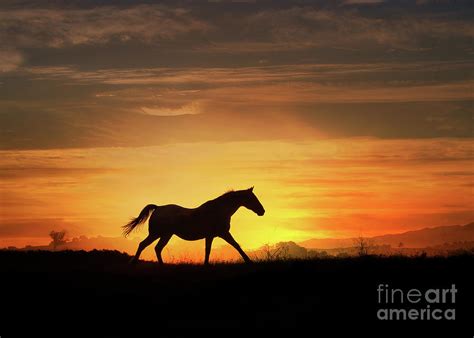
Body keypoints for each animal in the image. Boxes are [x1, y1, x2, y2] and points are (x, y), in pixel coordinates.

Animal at [122, 187, 264, 264]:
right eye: (252, 198)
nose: (262, 211)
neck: (219, 210)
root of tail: (158, 208)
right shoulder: (222, 234)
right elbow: (236, 246)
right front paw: (249, 261)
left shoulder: (212, 236)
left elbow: (209, 250)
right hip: (157, 234)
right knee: (143, 245)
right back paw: (134, 263)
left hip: (165, 235)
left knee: (157, 248)